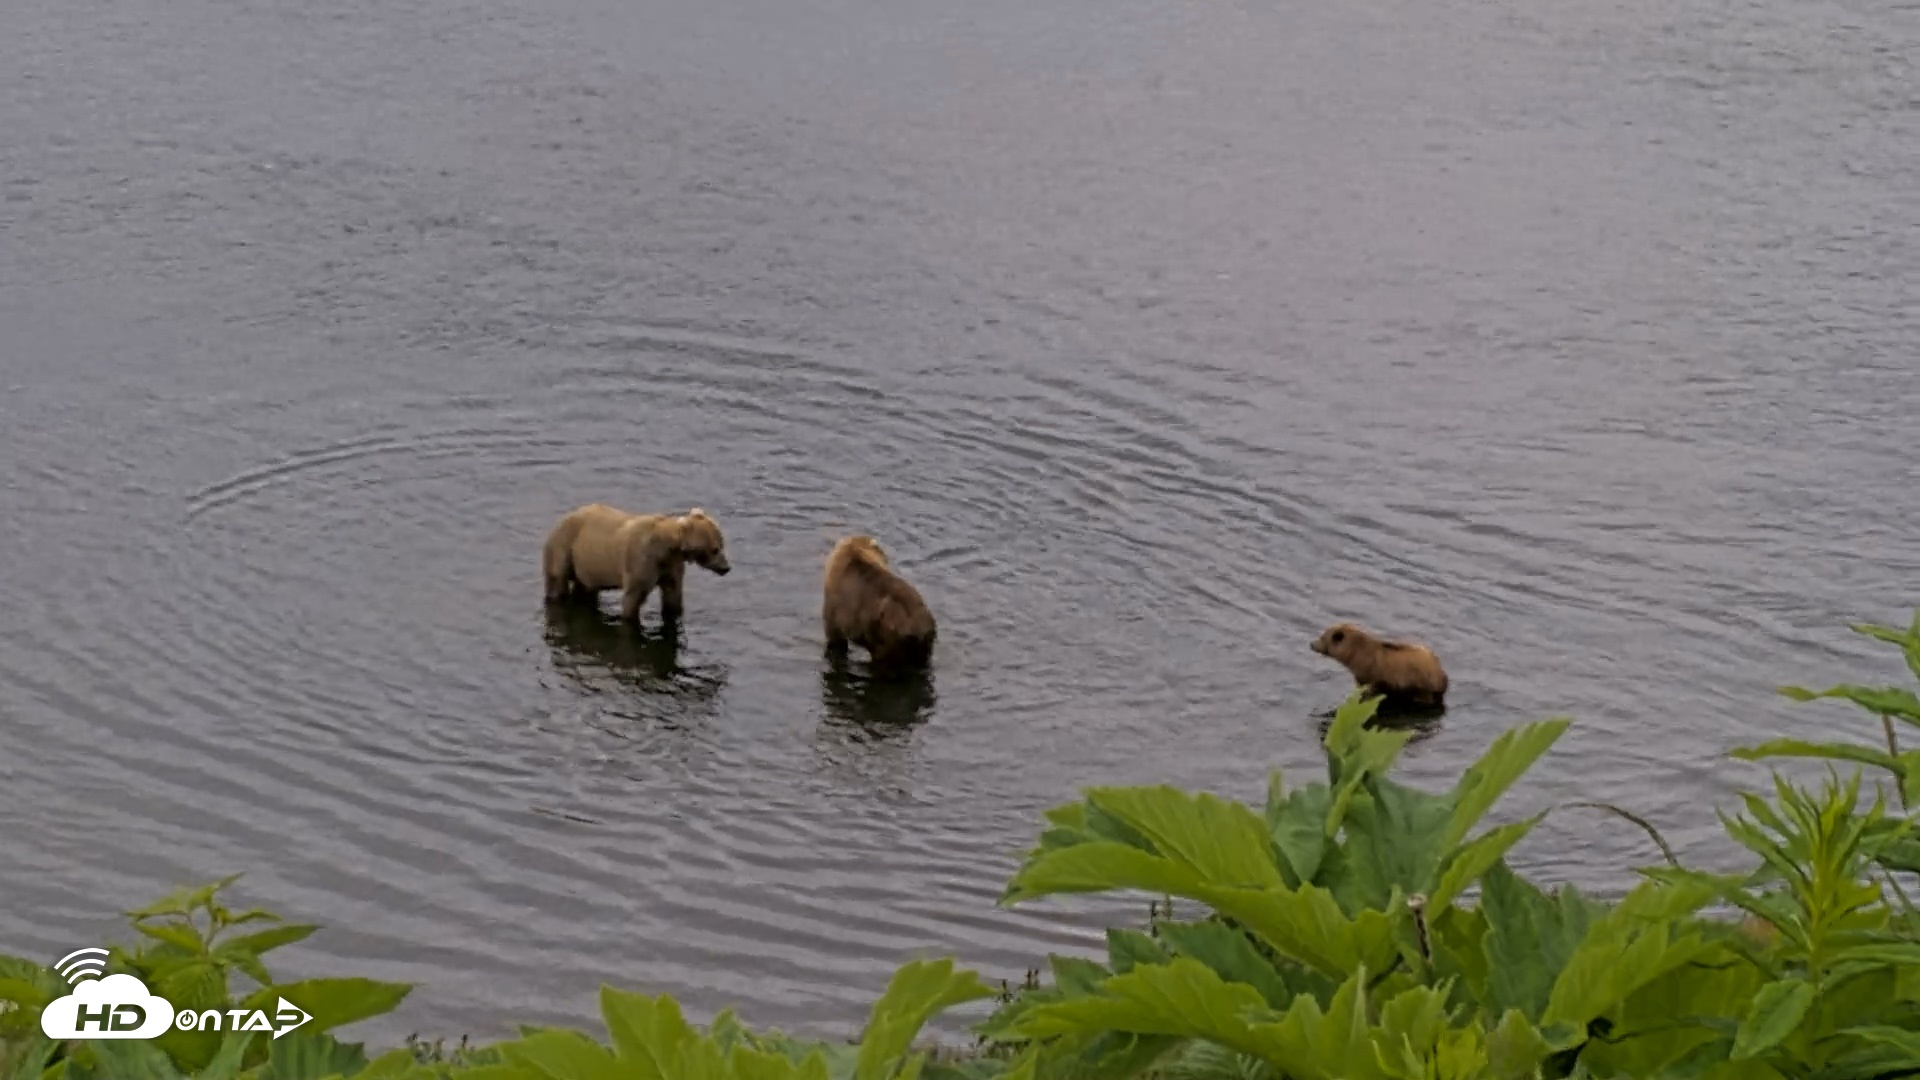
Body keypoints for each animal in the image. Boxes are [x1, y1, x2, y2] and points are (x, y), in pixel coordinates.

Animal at [541, 503, 730, 624]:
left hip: (586, 563)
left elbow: (673, 596)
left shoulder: (671, 566)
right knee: (557, 582)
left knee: (585, 589)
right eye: (715, 549)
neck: (667, 547)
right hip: (564, 546)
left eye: (722, 545)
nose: (726, 567)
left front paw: (674, 613)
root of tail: (563, 518)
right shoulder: (641, 561)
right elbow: (634, 598)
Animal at [1310, 621, 1448, 707]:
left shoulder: (1370, 672)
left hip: (1422, 682)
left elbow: (1368, 690)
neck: (1355, 654)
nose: (1311, 644)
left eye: (1322, 637)